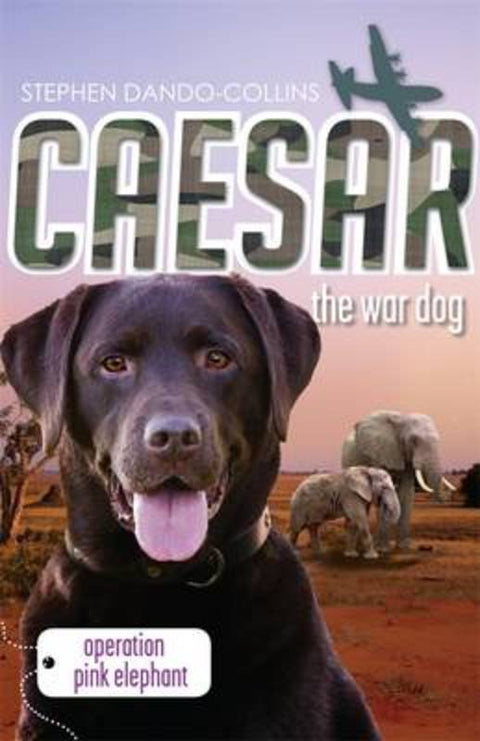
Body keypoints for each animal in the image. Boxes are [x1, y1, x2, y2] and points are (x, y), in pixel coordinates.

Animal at [342, 410, 456, 552]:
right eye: (414, 441)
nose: (450, 492)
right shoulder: (379, 454)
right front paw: (383, 549)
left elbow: (406, 493)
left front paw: (404, 547)